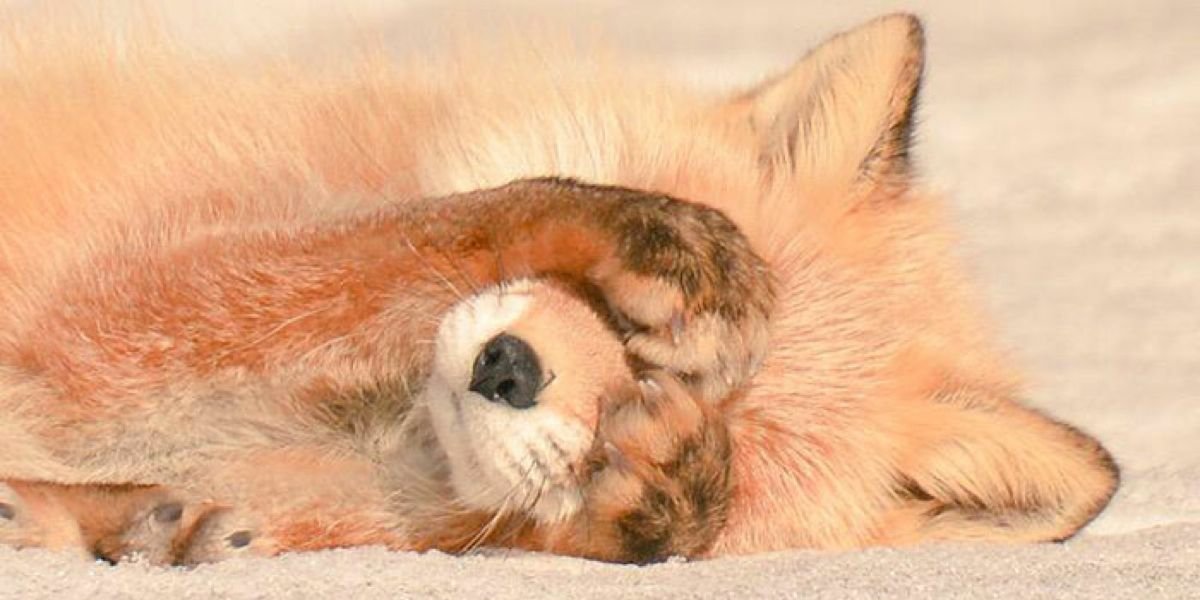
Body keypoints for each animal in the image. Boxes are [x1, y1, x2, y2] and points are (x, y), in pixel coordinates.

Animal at [0, 10, 1118, 565]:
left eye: (653, 397)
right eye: (638, 336)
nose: (507, 370)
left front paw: (657, 505)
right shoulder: (101, 303)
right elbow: (399, 244)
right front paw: (636, 231)